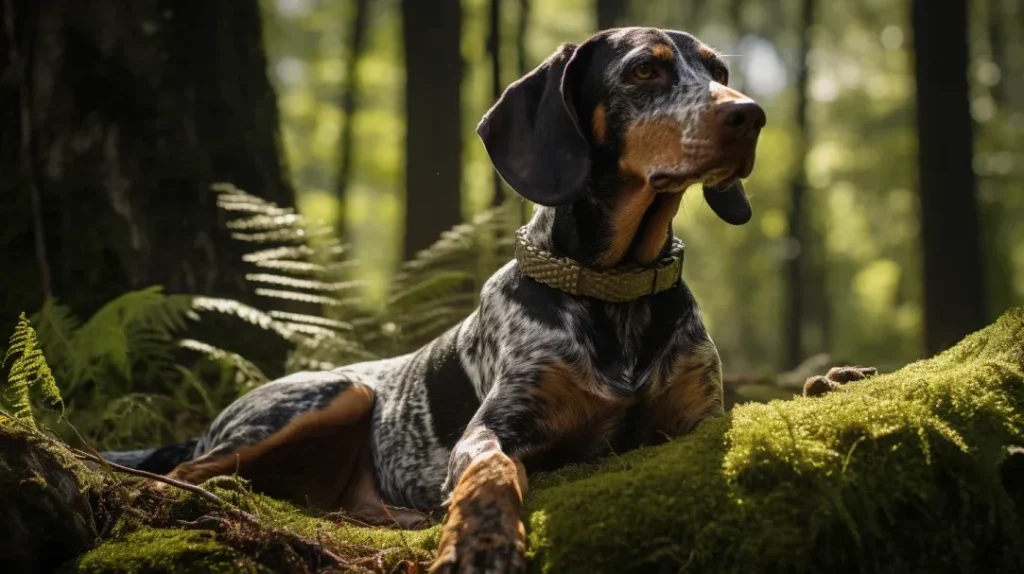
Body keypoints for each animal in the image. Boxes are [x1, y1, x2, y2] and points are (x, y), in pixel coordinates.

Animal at [101, 26, 872, 572]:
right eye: (645, 71)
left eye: (718, 72)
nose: (752, 116)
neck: (616, 290)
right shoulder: (497, 428)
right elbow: (492, 474)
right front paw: (480, 540)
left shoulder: (696, 419)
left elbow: (757, 407)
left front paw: (832, 381)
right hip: (330, 397)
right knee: (187, 470)